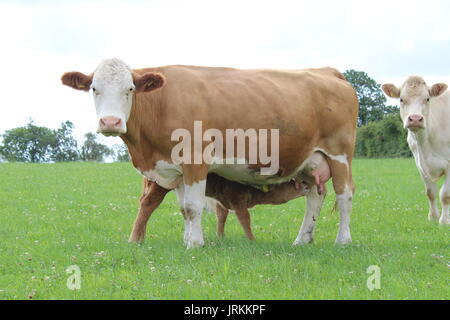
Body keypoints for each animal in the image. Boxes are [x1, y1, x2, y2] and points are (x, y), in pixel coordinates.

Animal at [62, 58, 358, 248]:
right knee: (315, 197)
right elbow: (184, 209)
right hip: (309, 160)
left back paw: (342, 240)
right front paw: (188, 240)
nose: (110, 122)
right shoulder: (173, 167)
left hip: (339, 154)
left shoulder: (195, 159)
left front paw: (195, 244)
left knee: (344, 196)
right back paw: (302, 239)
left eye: (130, 89)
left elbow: (194, 207)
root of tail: (328, 71)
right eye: (94, 88)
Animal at [382, 76, 448, 225]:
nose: (416, 119)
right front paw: (433, 217)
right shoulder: (420, 165)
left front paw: (444, 221)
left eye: (427, 99)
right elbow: (430, 192)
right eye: (401, 99)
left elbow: (445, 194)